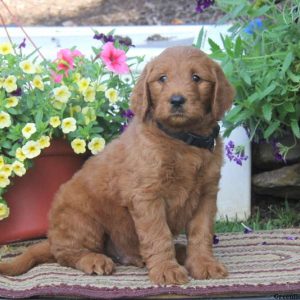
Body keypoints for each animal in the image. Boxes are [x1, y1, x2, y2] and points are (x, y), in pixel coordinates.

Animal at [0, 45, 234, 284]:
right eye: (162, 78)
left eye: (196, 78)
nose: (177, 100)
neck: (182, 140)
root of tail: (53, 237)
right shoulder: (147, 196)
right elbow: (158, 235)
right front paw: (166, 270)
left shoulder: (206, 195)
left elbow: (201, 233)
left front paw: (204, 264)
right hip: (83, 219)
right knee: (66, 254)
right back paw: (94, 260)